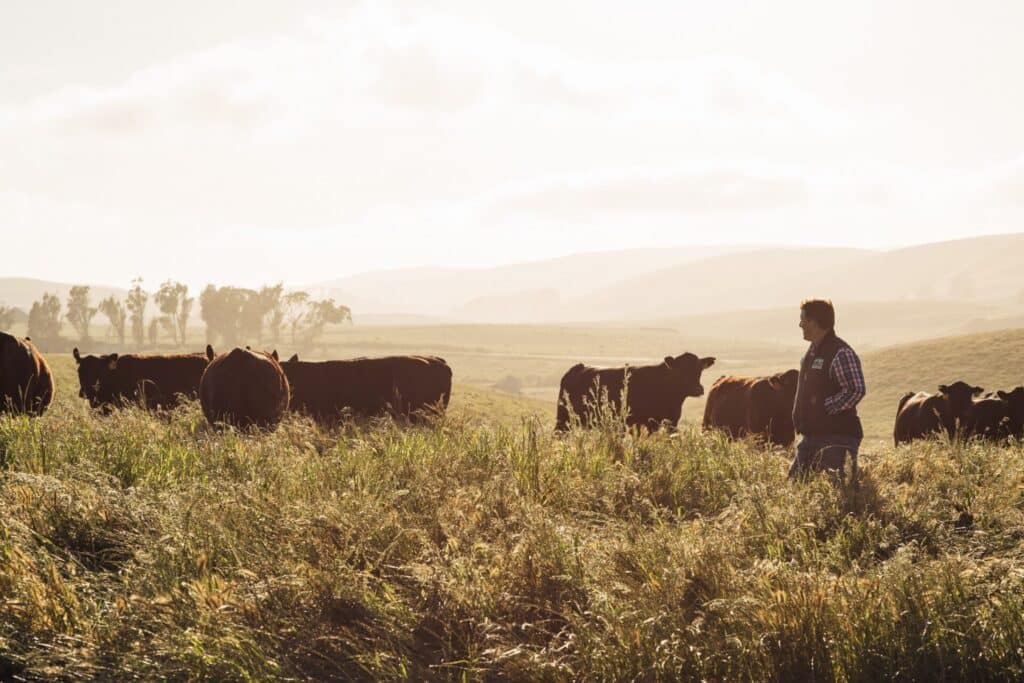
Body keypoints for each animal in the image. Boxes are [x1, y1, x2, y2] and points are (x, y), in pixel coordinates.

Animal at [557, 352, 716, 432]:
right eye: (680, 370)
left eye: (699, 370)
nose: (698, 389)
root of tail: (579, 367)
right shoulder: (645, 423)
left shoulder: (672, 422)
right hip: (563, 419)